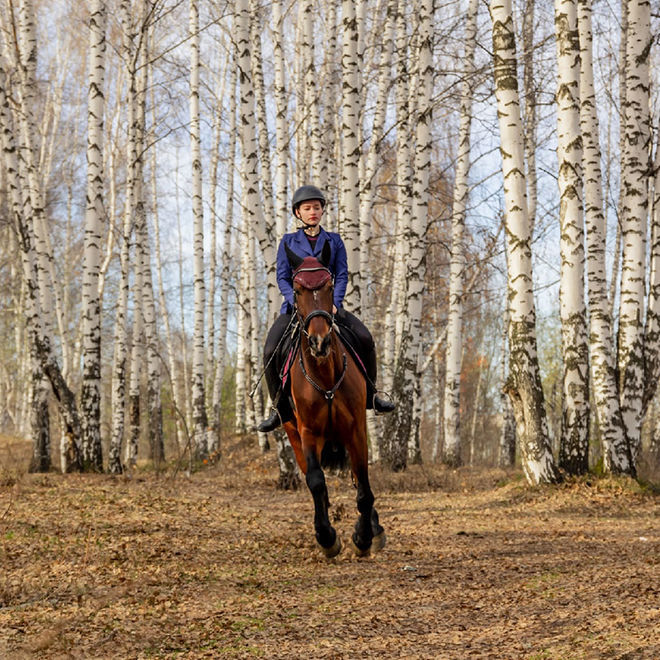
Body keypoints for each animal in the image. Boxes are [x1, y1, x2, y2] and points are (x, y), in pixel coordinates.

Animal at [282, 242, 384, 556]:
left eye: (328, 285)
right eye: (297, 289)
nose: (320, 342)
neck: (326, 378)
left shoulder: (355, 430)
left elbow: (363, 484)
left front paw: (364, 537)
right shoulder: (308, 432)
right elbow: (316, 481)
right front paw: (327, 537)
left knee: (358, 480)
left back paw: (374, 528)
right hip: (292, 431)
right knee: (313, 480)